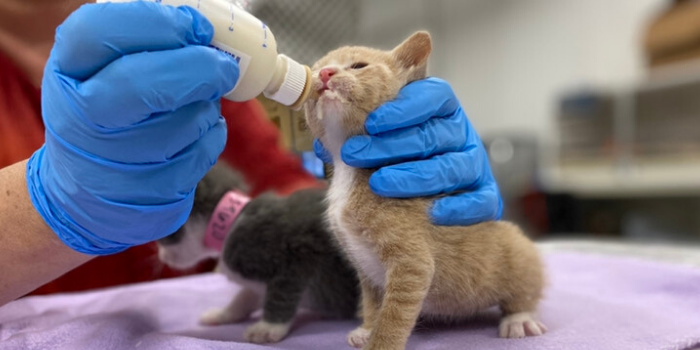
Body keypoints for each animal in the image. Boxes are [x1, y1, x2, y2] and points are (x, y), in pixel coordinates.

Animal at [157, 163, 358, 344]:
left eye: (162, 237)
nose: (162, 257)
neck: (231, 222)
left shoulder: (300, 252)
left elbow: (282, 291)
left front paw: (268, 327)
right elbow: (247, 295)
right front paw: (225, 313)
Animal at [304, 30, 548, 350]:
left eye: (358, 66)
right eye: (315, 69)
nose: (325, 73)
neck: (348, 171)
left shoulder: (412, 264)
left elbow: (394, 314)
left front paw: (381, 342)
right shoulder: (365, 269)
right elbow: (373, 302)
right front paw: (368, 327)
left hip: (518, 251)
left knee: (525, 290)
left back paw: (519, 318)